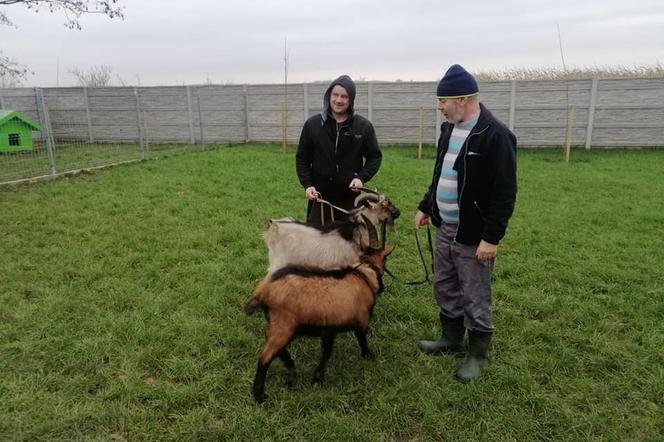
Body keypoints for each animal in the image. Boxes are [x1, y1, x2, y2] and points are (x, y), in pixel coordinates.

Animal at [246, 245, 396, 404]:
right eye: (383, 266)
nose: (382, 288)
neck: (362, 275)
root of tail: (262, 291)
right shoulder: (361, 321)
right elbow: (361, 339)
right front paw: (368, 355)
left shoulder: (330, 329)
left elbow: (326, 352)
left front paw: (317, 378)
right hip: (283, 325)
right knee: (264, 357)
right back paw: (260, 396)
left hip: (279, 325)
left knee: (275, 348)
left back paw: (290, 366)